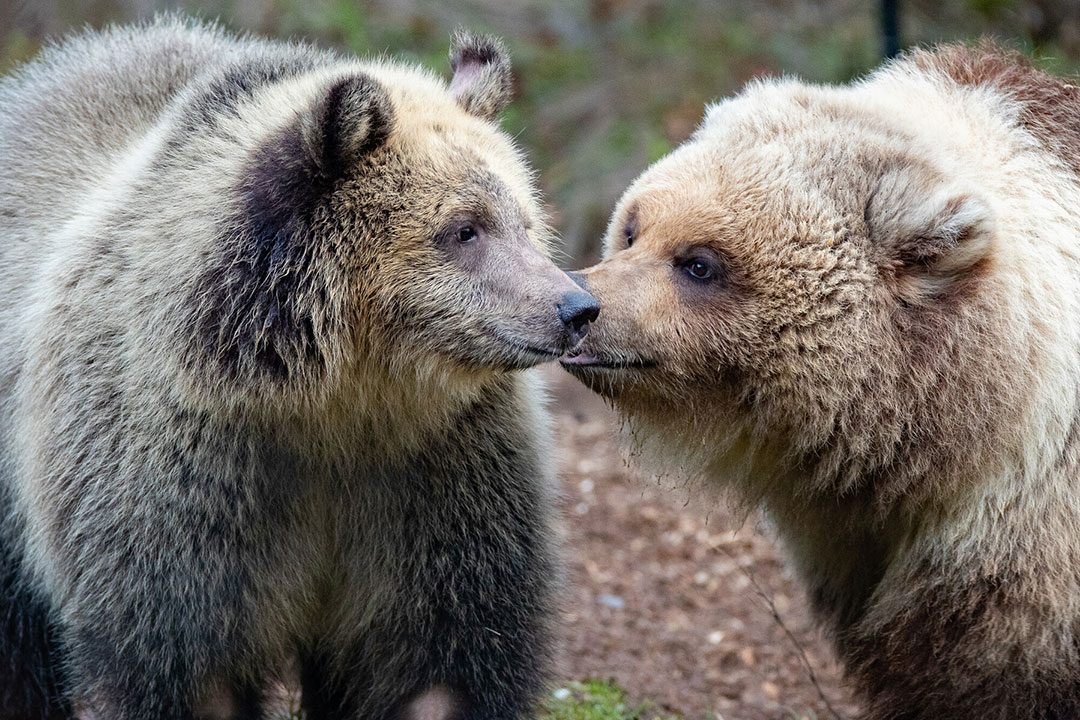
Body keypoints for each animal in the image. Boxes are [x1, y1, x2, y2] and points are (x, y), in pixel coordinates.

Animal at [0, 15, 599, 720]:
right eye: (464, 229)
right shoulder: (179, 485)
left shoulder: (437, 478)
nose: (575, 307)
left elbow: (442, 656)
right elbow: (176, 662)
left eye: (524, 222)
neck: (327, 400)